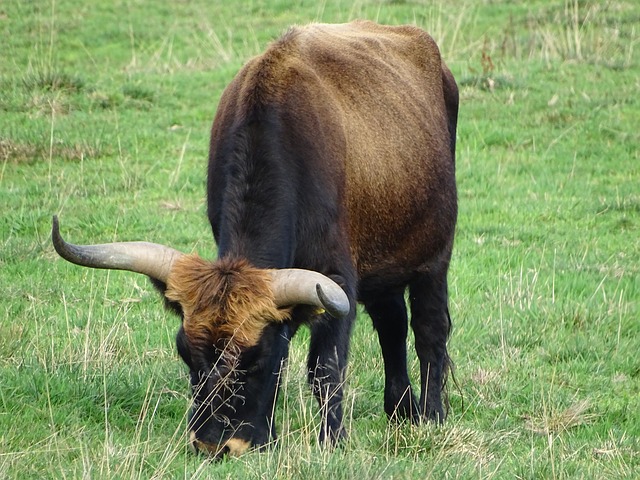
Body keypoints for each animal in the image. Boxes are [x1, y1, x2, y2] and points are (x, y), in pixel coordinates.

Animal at [52, 19, 458, 458]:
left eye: (255, 359)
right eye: (185, 353)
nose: (214, 445)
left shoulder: (337, 281)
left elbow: (325, 367)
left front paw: (331, 440)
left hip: (434, 259)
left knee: (429, 331)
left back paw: (431, 415)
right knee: (392, 324)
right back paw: (401, 410)